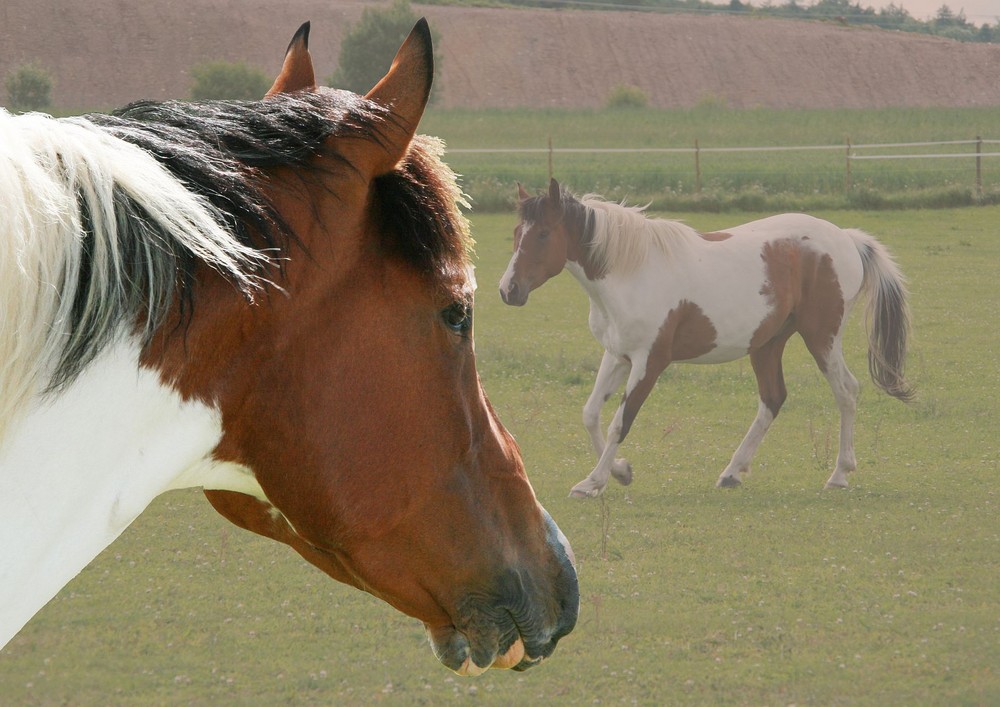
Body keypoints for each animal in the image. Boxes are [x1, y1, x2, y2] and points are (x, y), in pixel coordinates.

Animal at [500, 177, 916, 498]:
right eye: (516, 234)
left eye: (543, 234)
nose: (508, 290)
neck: (630, 271)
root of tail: (846, 238)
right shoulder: (617, 355)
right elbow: (590, 414)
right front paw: (620, 471)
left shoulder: (650, 362)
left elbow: (621, 420)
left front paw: (593, 482)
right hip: (767, 343)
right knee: (773, 398)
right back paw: (732, 472)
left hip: (822, 337)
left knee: (846, 390)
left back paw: (839, 474)